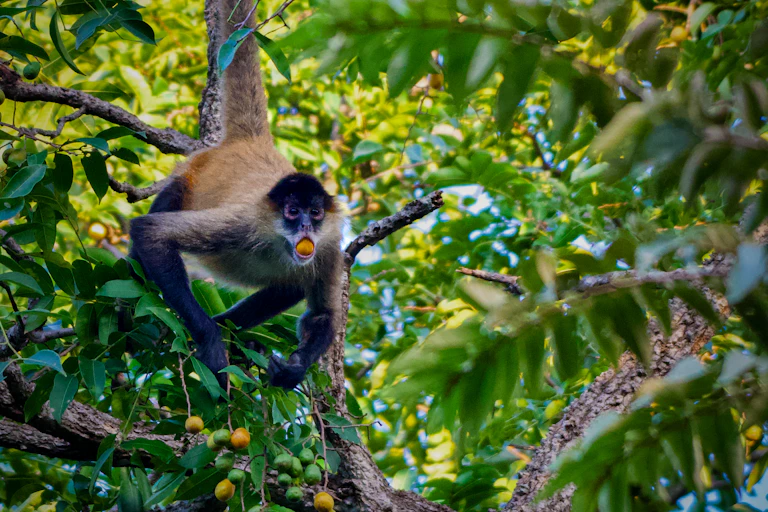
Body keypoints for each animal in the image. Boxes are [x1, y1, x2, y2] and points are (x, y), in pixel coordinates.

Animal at [128, 0, 343, 390]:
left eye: (316, 213)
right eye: (292, 212)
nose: (306, 225)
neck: (279, 243)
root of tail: (251, 142)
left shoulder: (330, 246)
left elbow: (322, 314)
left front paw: (294, 368)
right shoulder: (244, 222)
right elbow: (150, 233)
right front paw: (211, 340)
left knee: (291, 286)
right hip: (189, 177)